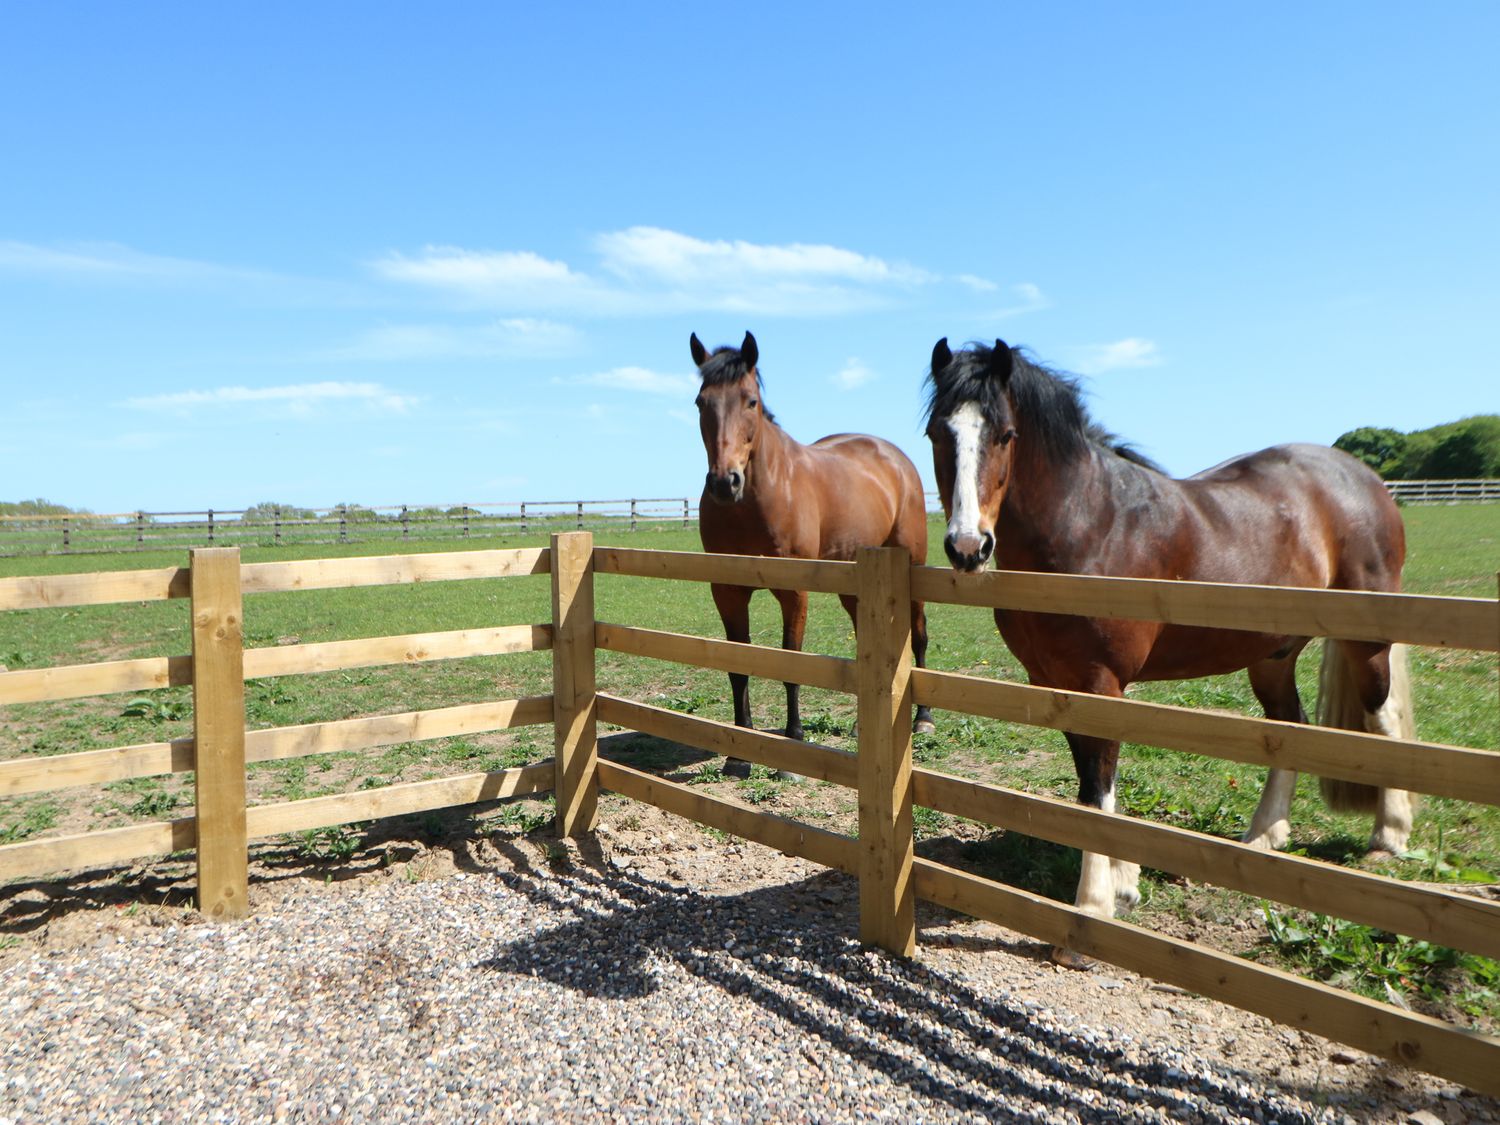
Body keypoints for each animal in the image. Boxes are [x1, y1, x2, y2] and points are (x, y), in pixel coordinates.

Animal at [693, 328, 936, 774]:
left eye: (750, 401)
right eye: (702, 402)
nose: (724, 482)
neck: (759, 496)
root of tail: (893, 456)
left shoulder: (794, 593)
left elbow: (792, 662)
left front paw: (792, 747)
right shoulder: (727, 591)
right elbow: (738, 668)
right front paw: (738, 755)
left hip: (914, 565)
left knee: (920, 636)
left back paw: (923, 720)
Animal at [918, 337, 1410, 960]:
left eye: (1005, 434)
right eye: (937, 432)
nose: (967, 547)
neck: (1090, 524)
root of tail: (1361, 477)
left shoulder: (1100, 681)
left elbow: (1097, 787)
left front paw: (1091, 913)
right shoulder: (1058, 682)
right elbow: (1092, 781)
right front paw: (1124, 884)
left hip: (1364, 643)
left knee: (1383, 721)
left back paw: (1388, 838)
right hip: (1272, 657)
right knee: (1290, 727)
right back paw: (1263, 837)